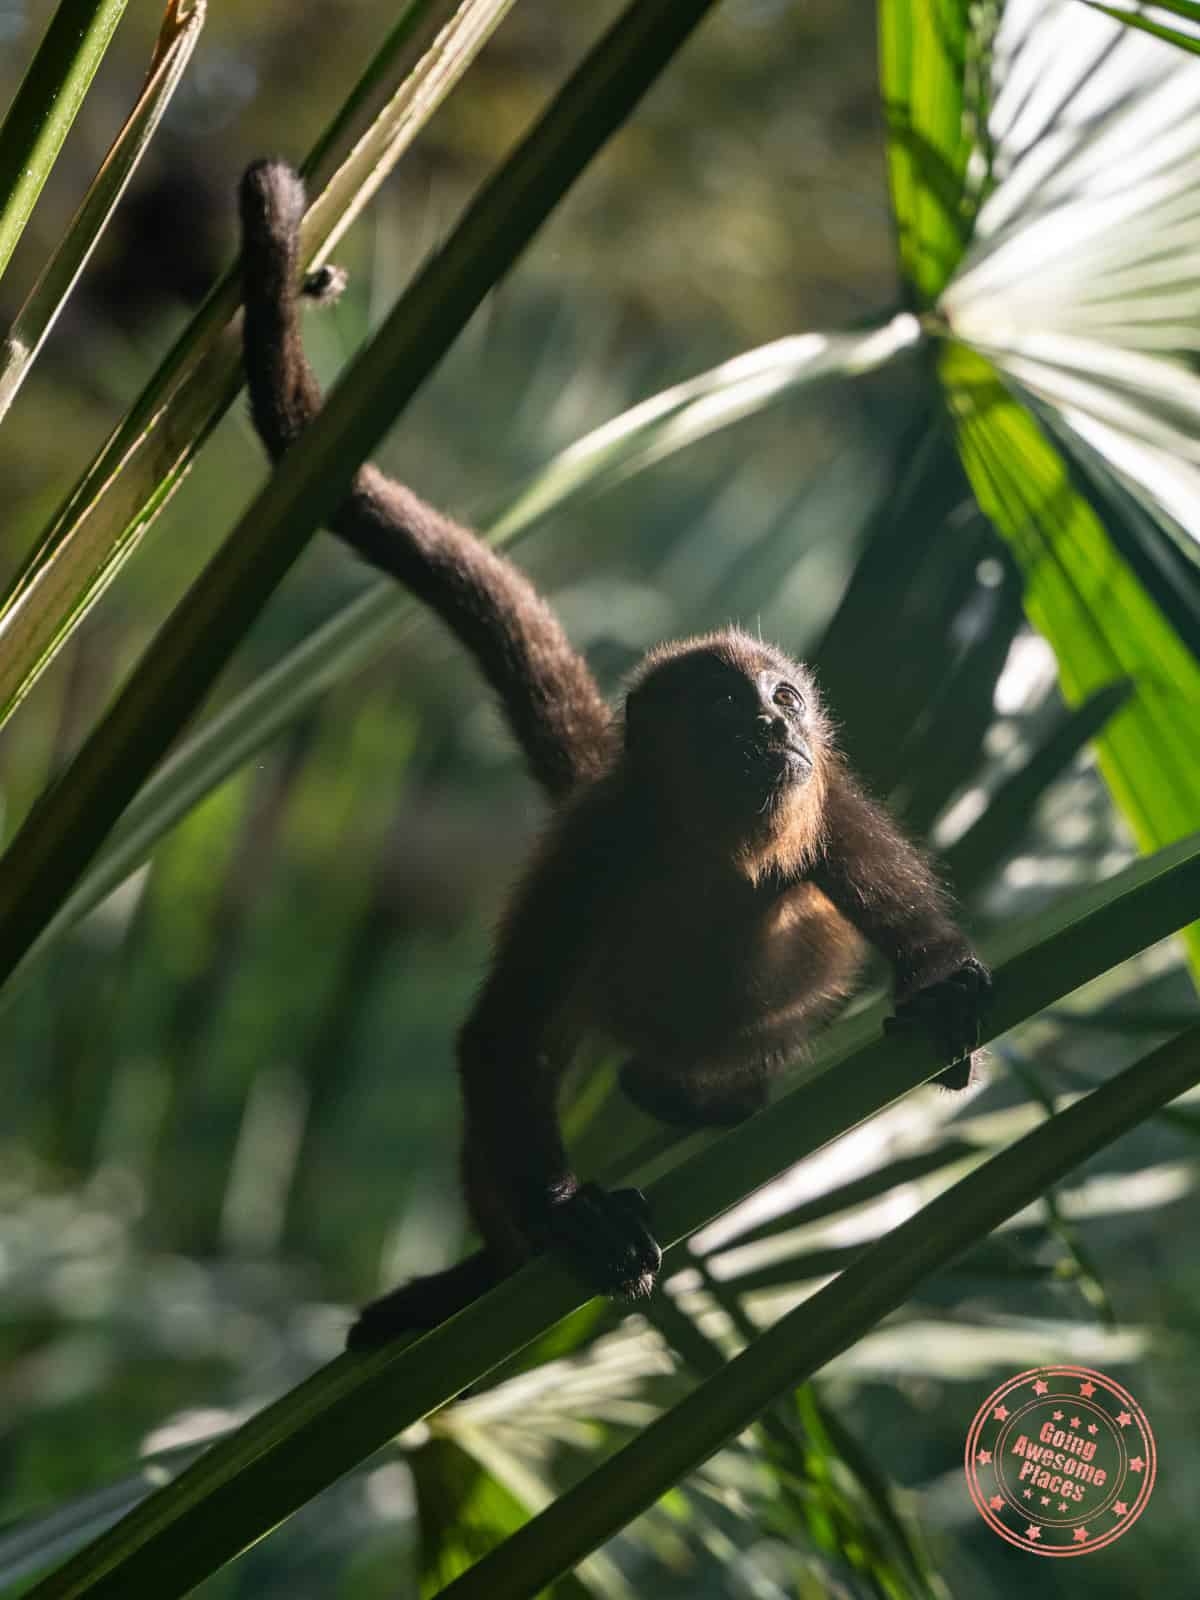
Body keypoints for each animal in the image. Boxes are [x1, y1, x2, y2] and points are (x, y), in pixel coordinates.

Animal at [237, 161, 991, 1350]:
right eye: (729, 707)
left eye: (784, 696)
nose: (779, 728)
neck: (711, 845)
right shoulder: (598, 844)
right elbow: (498, 1042)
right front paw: (571, 1221)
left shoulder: (829, 802)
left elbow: (915, 926)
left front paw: (945, 987)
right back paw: (487, 1270)